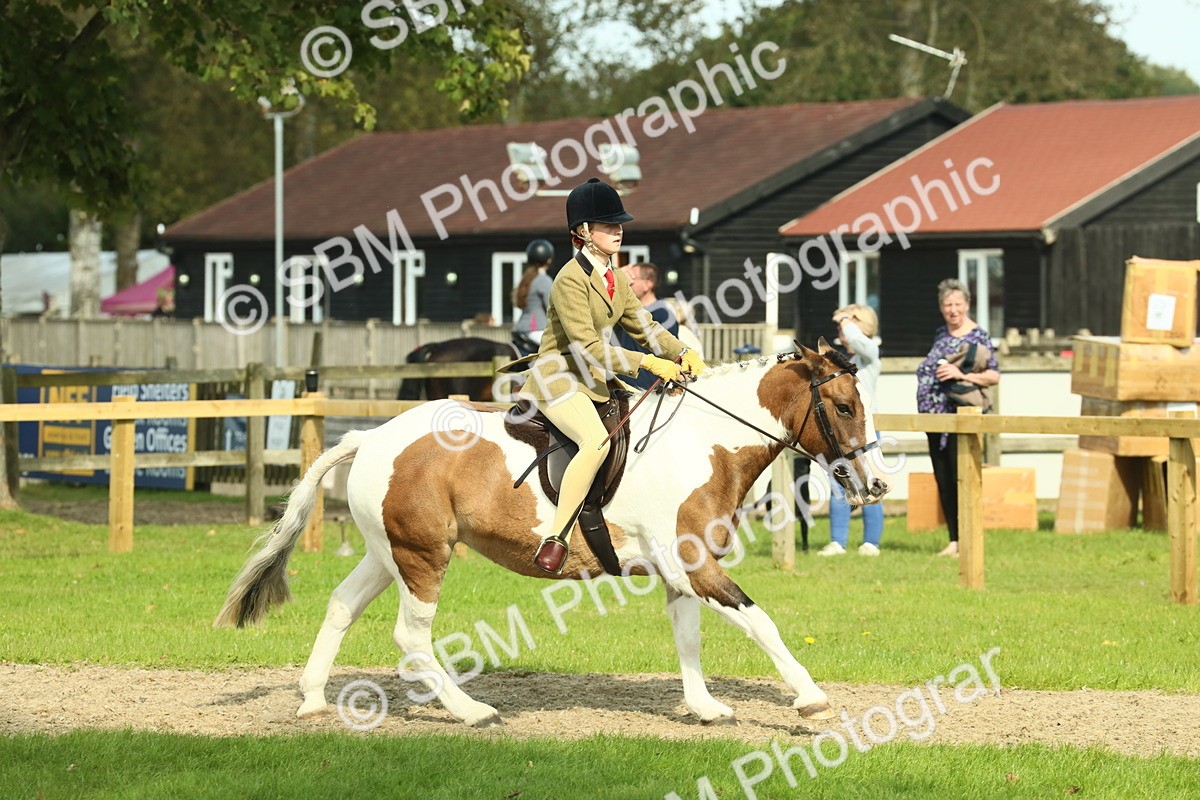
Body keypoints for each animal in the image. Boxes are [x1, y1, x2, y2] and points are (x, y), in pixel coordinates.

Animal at [216, 339, 890, 727]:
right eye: (846, 407)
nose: (878, 483)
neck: (703, 441)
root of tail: (371, 436)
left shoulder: (680, 571)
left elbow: (689, 637)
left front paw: (702, 707)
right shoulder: (694, 565)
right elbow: (760, 621)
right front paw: (810, 697)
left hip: (389, 554)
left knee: (340, 606)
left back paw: (311, 699)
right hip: (423, 556)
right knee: (411, 636)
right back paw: (472, 712)